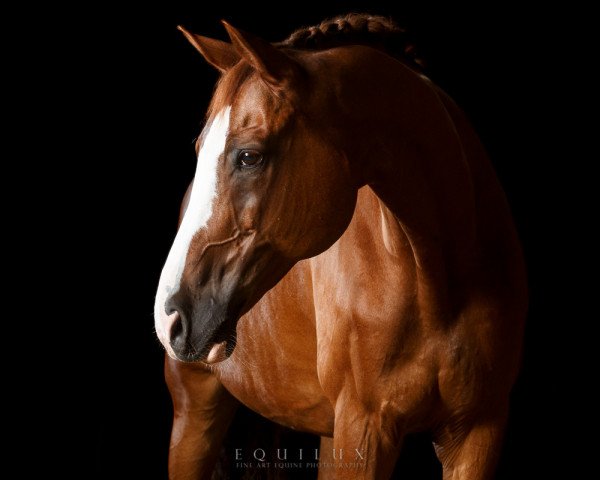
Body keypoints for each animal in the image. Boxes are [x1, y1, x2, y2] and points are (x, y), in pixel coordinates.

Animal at [154, 15, 524, 480]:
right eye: (201, 151)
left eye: (249, 156)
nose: (169, 316)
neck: (438, 281)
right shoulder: (365, 428)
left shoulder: (478, 431)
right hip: (195, 410)